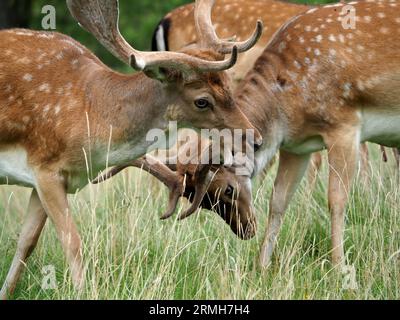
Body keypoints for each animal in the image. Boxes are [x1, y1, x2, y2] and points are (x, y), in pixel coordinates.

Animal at [0, 0, 266, 298]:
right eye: (202, 101)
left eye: (229, 86)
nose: (255, 139)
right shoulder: (45, 166)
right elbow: (72, 242)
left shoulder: (46, 178)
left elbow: (26, 242)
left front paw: (5, 292)